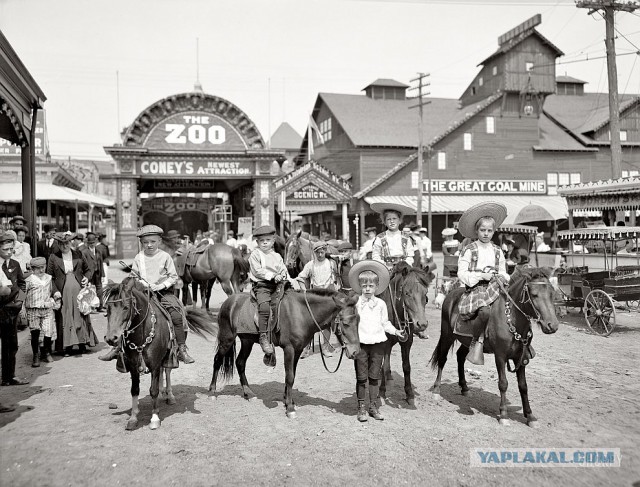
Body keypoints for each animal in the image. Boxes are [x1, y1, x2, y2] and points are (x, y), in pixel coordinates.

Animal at [103, 278, 218, 430]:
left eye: (126, 307)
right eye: (107, 309)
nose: (111, 338)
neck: (142, 333)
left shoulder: (155, 363)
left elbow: (153, 390)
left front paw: (155, 418)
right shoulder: (133, 366)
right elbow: (135, 390)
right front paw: (133, 417)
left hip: (170, 354)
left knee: (167, 371)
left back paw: (169, 395)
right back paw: (163, 392)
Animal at [210, 286, 360, 420]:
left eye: (358, 321)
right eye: (345, 323)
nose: (356, 352)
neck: (301, 313)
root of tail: (229, 301)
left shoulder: (298, 350)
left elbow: (292, 374)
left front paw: (289, 401)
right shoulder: (289, 349)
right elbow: (290, 377)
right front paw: (290, 408)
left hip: (247, 341)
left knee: (240, 363)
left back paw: (249, 393)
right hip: (227, 339)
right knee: (217, 360)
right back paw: (212, 392)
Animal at [378, 264, 432, 408]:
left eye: (425, 295)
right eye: (407, 293)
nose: (422, 324)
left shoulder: (407, 342)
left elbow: (406, 367)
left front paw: (409, 394)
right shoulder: (383, 342)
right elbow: (383, 365)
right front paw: (381, 392)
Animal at [430, 266, 560, 428]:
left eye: (552, 294)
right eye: (534, 294)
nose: (552, 326)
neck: (511, 319)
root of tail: (451, 295)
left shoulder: (520, 358)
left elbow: (523, 386)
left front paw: (530, 416)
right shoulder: (500, 356)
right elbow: (503, 383)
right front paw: (503, 414)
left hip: (468, 341)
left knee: (460, 356)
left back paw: (465, 388)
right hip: (447, 335)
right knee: (442, 359)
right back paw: (436, 390)